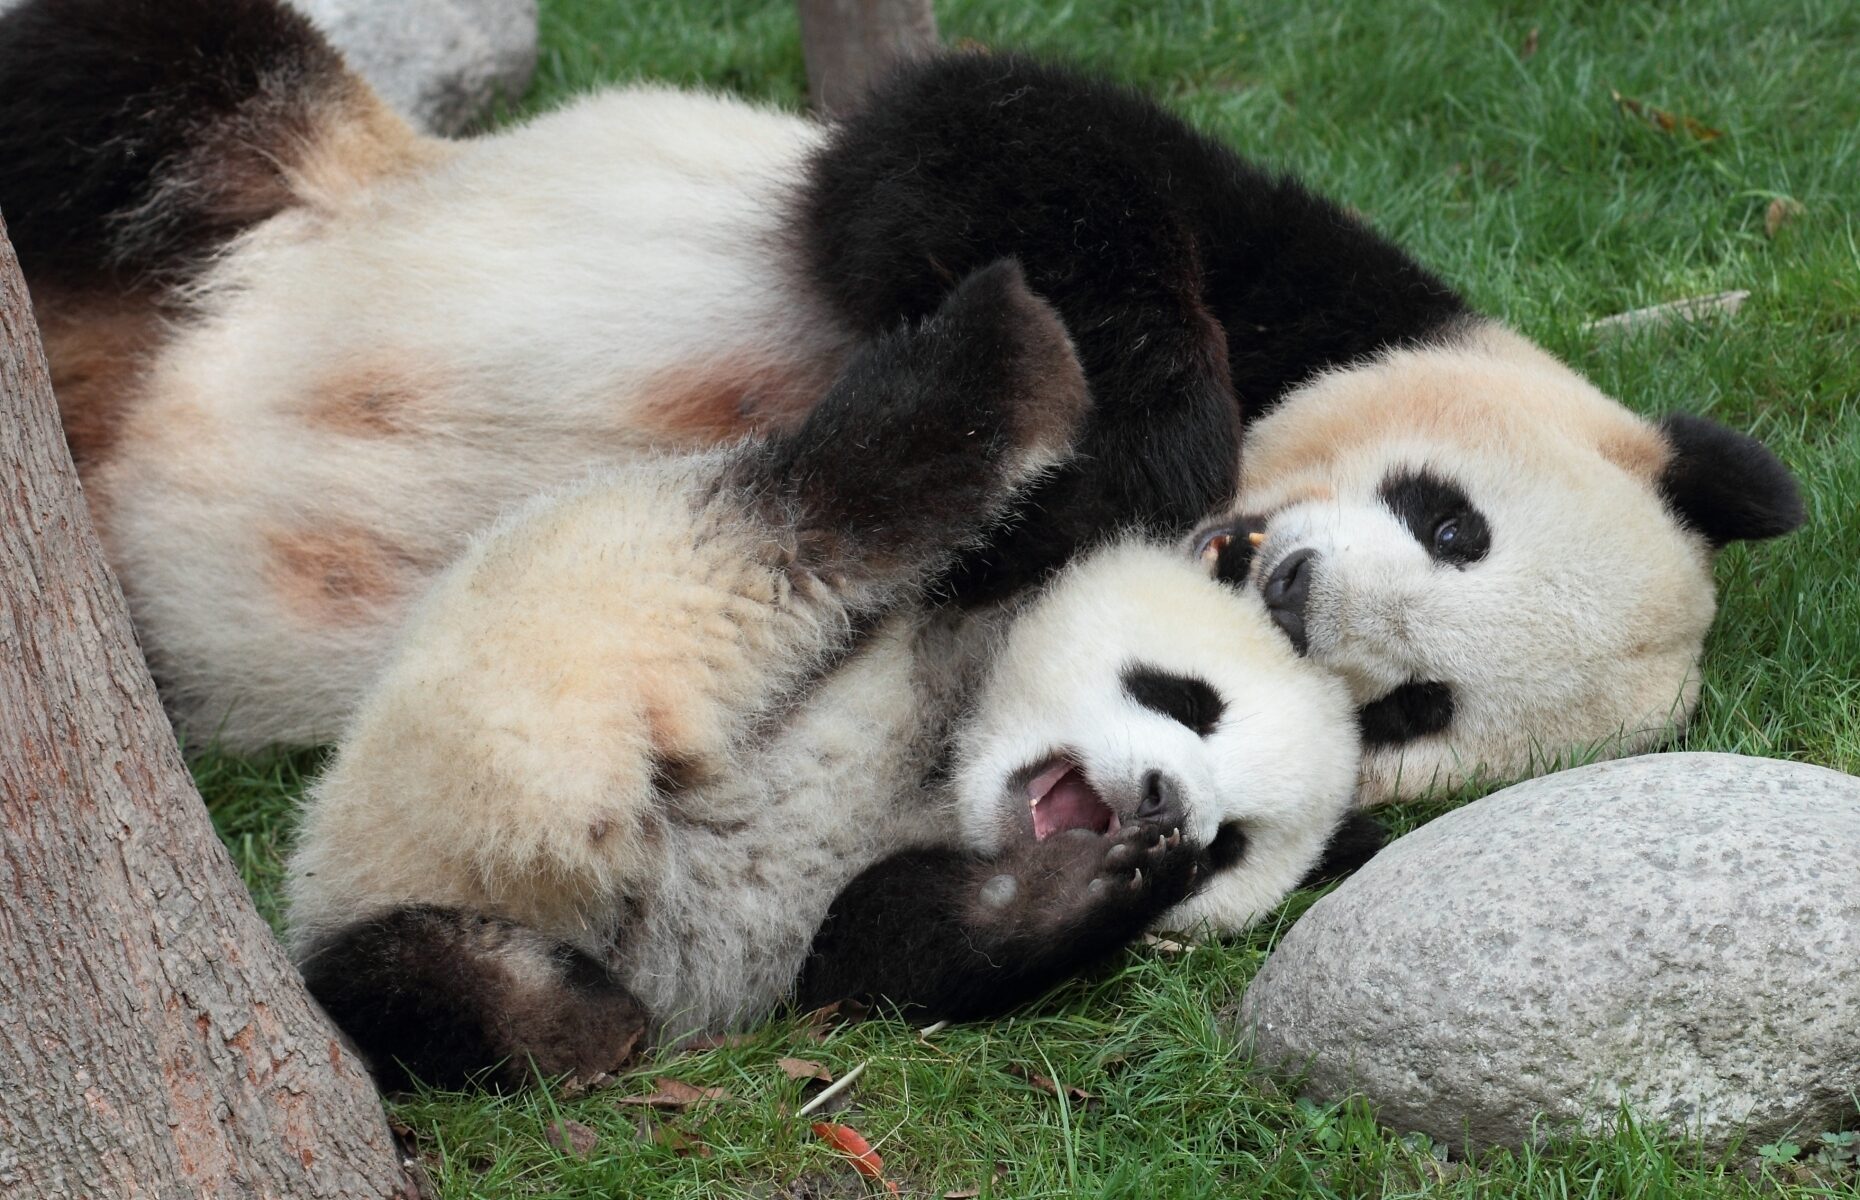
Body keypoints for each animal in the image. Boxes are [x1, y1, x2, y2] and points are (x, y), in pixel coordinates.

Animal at [0, 0, 1803, 796]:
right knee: (129, 70)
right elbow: (985, 153)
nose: (1294, 593)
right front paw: (1144, 433)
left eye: (1415, 710)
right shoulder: (1293, 261)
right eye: (1453, 521)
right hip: (287, 163)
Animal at [286, 262, 1364, 1090]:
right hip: (548, 667)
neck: (948, 751)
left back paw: (546, 1012)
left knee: (398, 978)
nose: (1163, 799)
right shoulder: (995, 582)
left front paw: (1087, 887)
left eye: (1229, 846)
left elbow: (872, 955)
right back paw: (1013, 334)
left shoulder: (858, 907)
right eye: (1186, 699)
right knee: (841, 499)